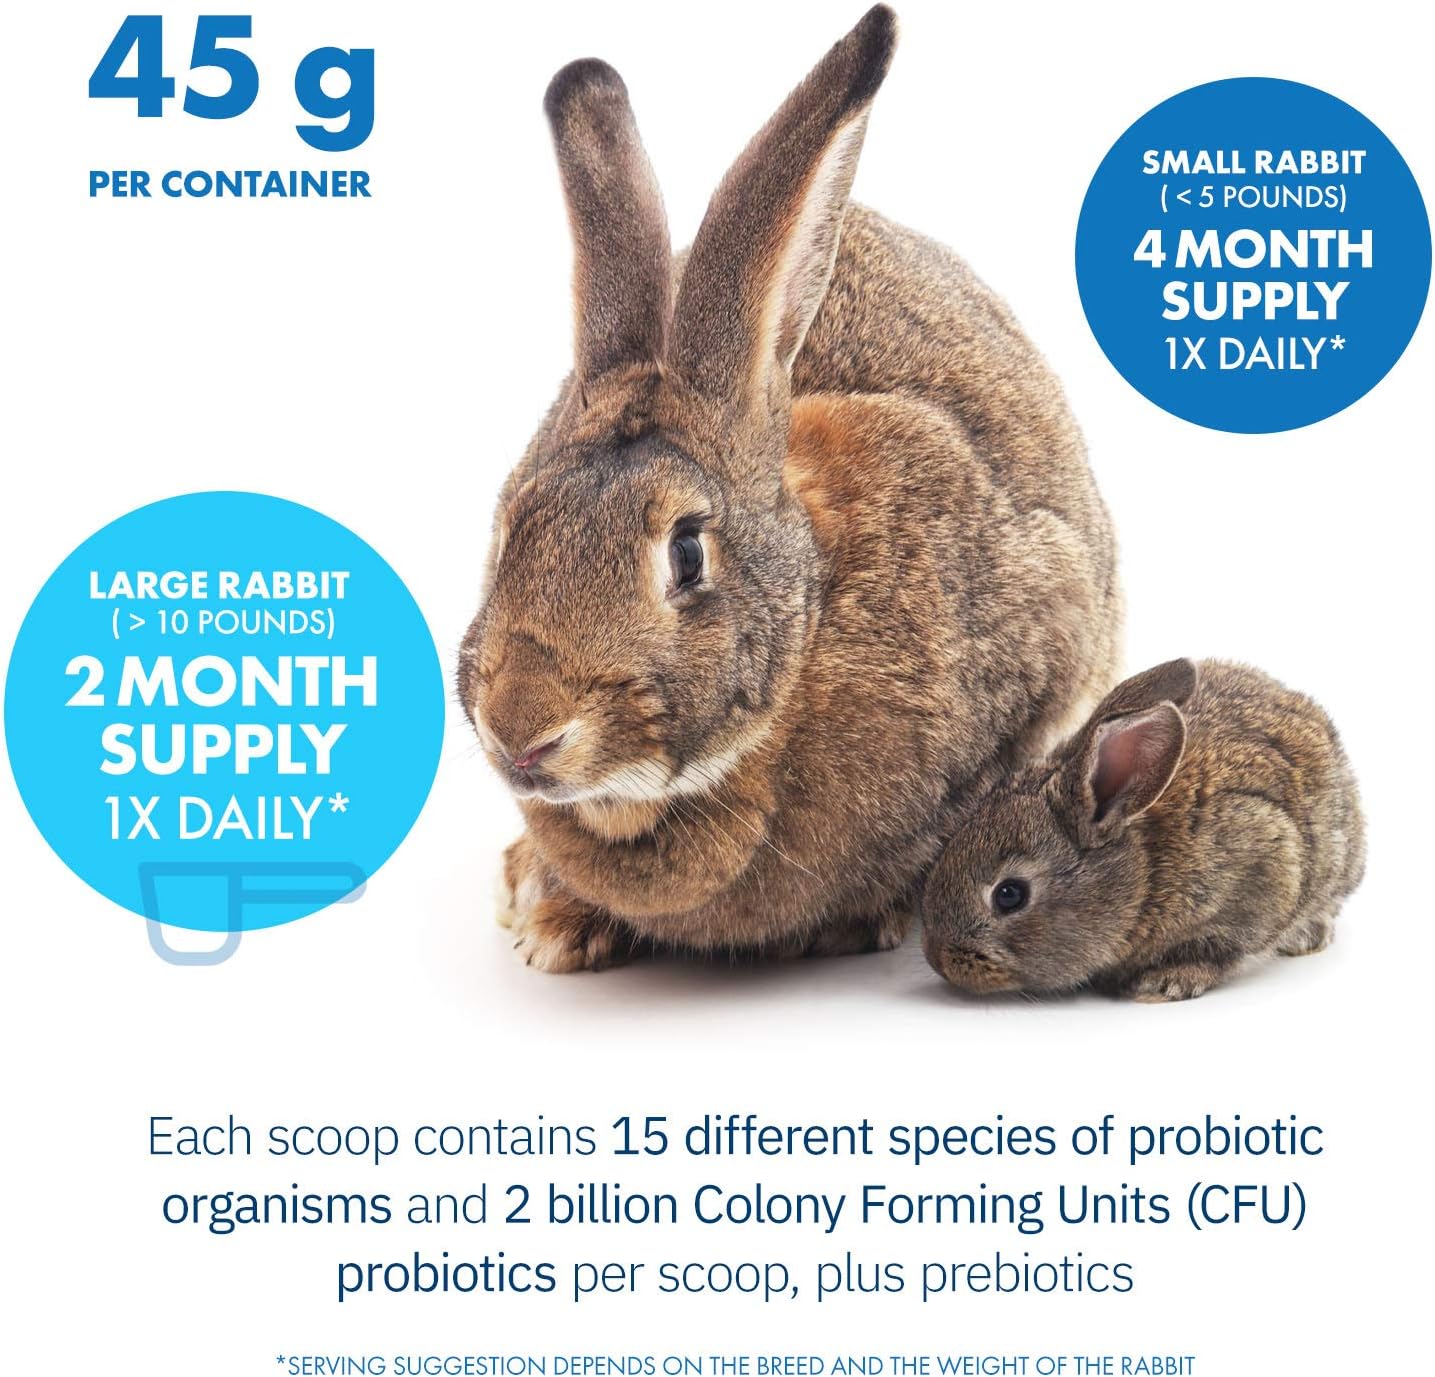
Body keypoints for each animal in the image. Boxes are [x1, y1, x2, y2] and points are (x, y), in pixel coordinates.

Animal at [920, 658, 1366, 1001]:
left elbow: (1221, 951)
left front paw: (1165, 983)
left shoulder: (1262, 868)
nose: (938, 959)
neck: (1144, 872)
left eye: (1009, 895)